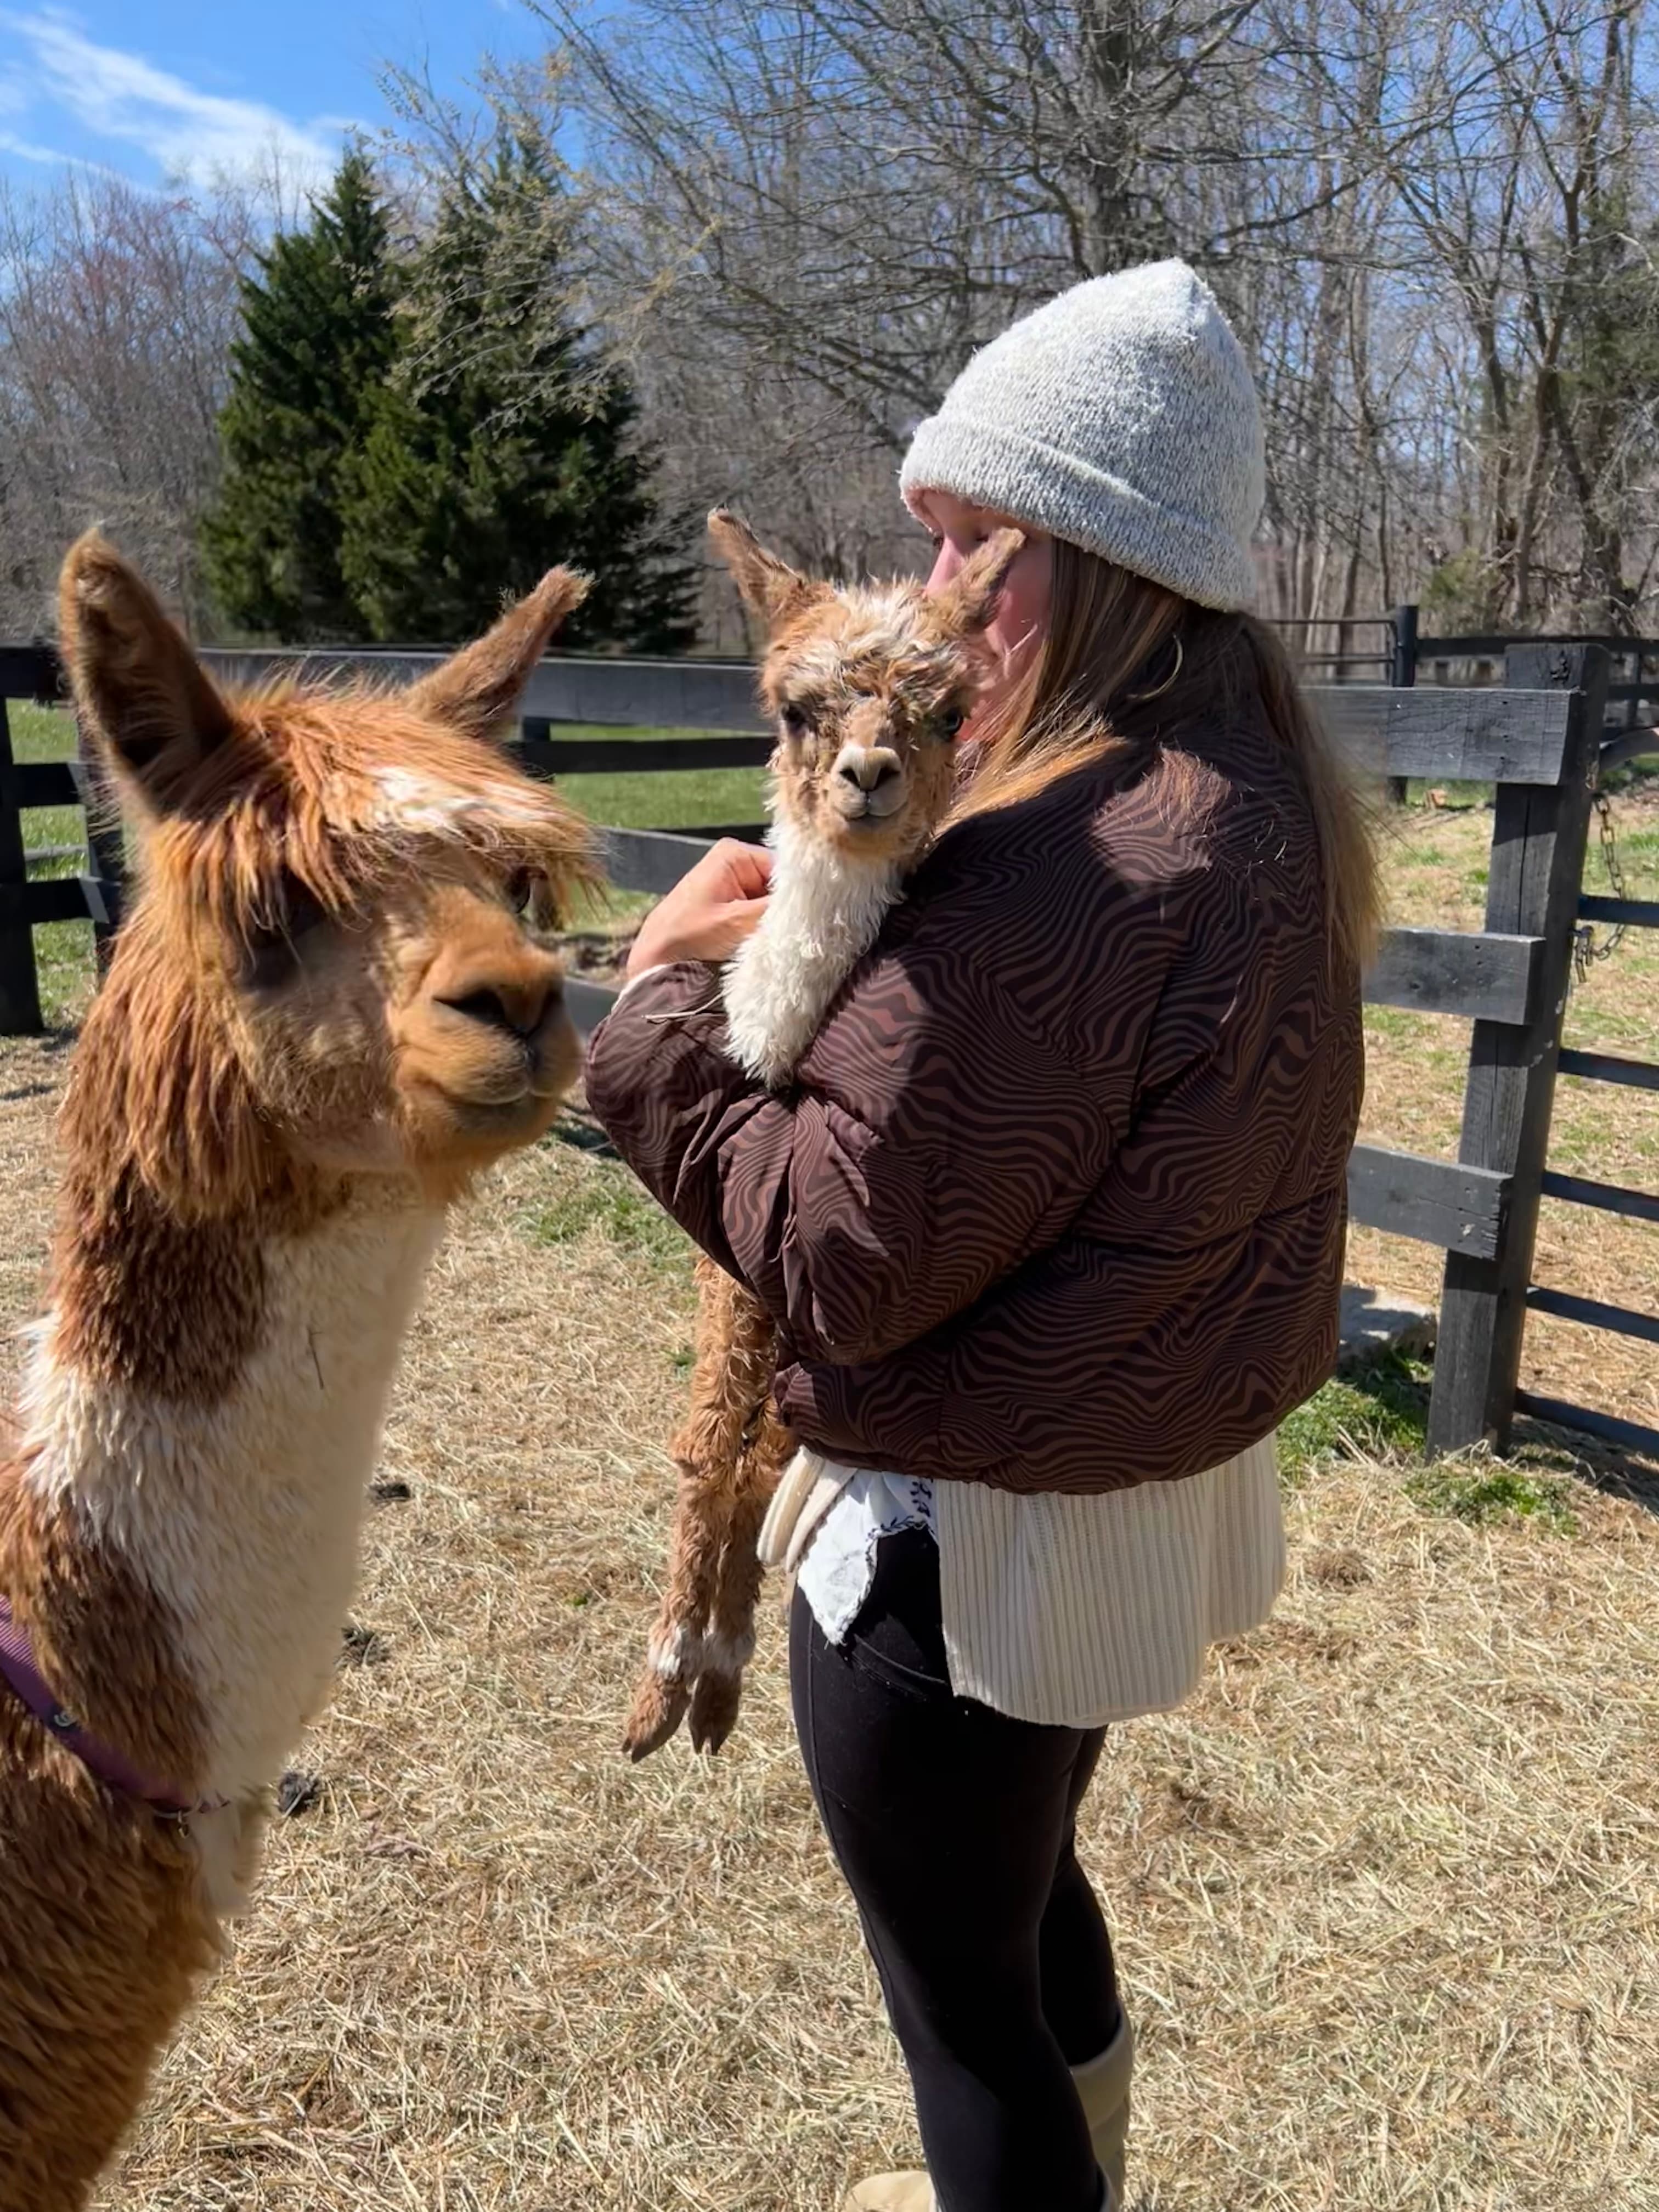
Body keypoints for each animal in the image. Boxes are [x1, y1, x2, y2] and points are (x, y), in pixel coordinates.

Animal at [622, 511, 1022, 1760]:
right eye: (796, 708)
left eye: (947, 712)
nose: (869, 776)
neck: (775, 1048)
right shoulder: (729, 1255)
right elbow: (711, 1441)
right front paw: (669, 1681)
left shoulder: (773, 1250)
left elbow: (745, 1455)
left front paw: (699, 1677)